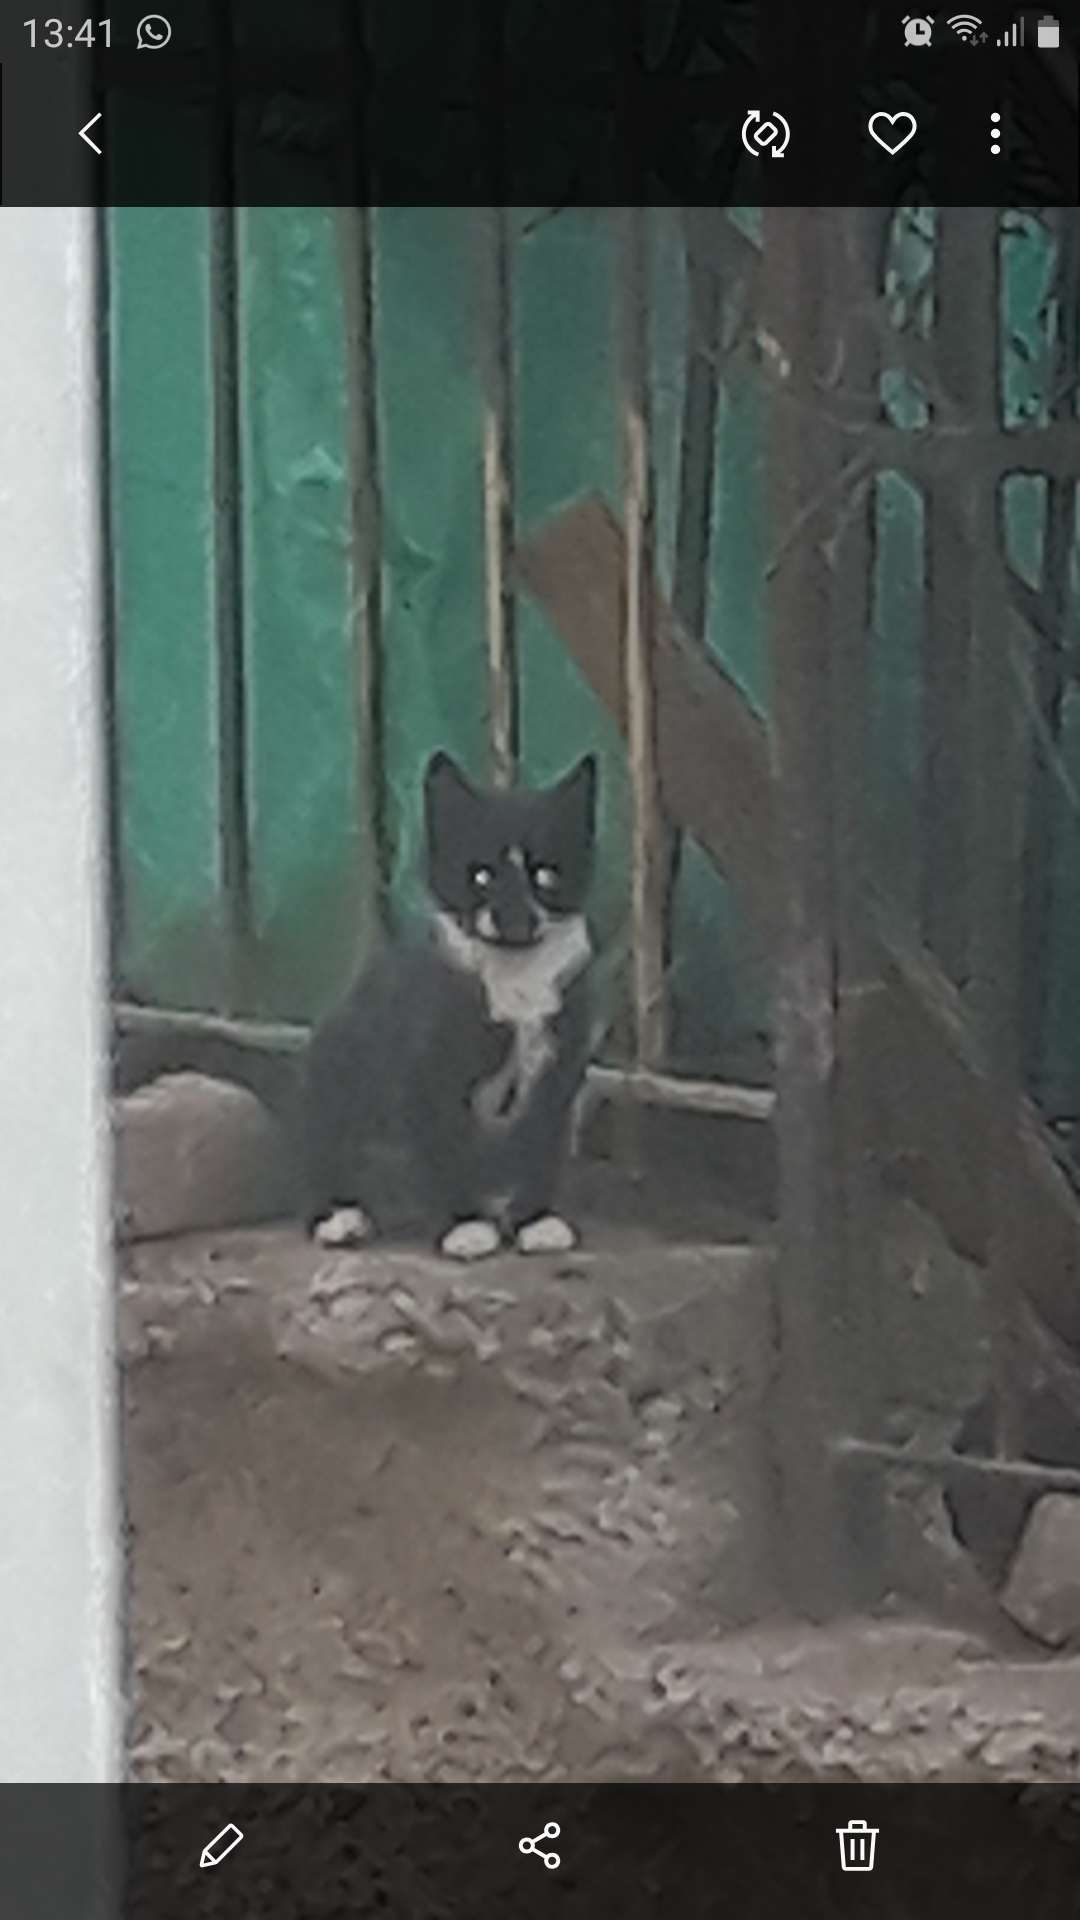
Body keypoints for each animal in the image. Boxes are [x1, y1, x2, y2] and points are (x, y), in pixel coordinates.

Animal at [116, 752, 598, 1261]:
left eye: (546, 874)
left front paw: (535, 1220)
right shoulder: (426, 1066)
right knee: (320, 1153)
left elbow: (541, 1140)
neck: (514, 976)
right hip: (337, 1076)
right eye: (481, 875)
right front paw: (464, 1225)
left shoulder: (560, 1066)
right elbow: (443, 1144)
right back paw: (338, 1214)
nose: (514, 917)